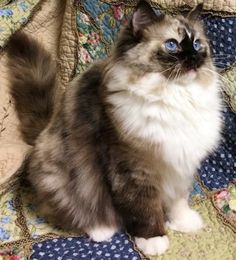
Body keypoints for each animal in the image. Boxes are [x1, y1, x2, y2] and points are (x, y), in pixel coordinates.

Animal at [6, 0, 221, 256]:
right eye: (172, 44)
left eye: (197, 44)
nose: (195, 57)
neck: (175, 98)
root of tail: (43, 131)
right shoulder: (134, 168)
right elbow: (145, 208)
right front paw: (153, 239)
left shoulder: (182, 165)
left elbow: (178, 200)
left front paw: (183, 222)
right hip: (60, 179)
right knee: (77, 213)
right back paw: (102, 230)